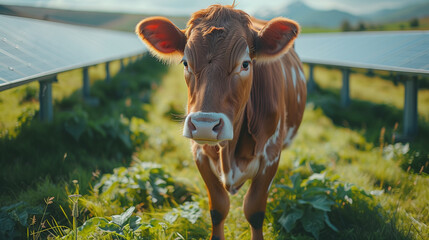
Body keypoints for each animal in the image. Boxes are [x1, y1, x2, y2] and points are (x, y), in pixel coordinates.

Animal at [135, 4, 306, 240]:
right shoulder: (199, 152)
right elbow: (218, 207)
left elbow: (254, 210)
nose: (205, 125)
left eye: (245, 64)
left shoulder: (271, 154)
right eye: (185, 62)